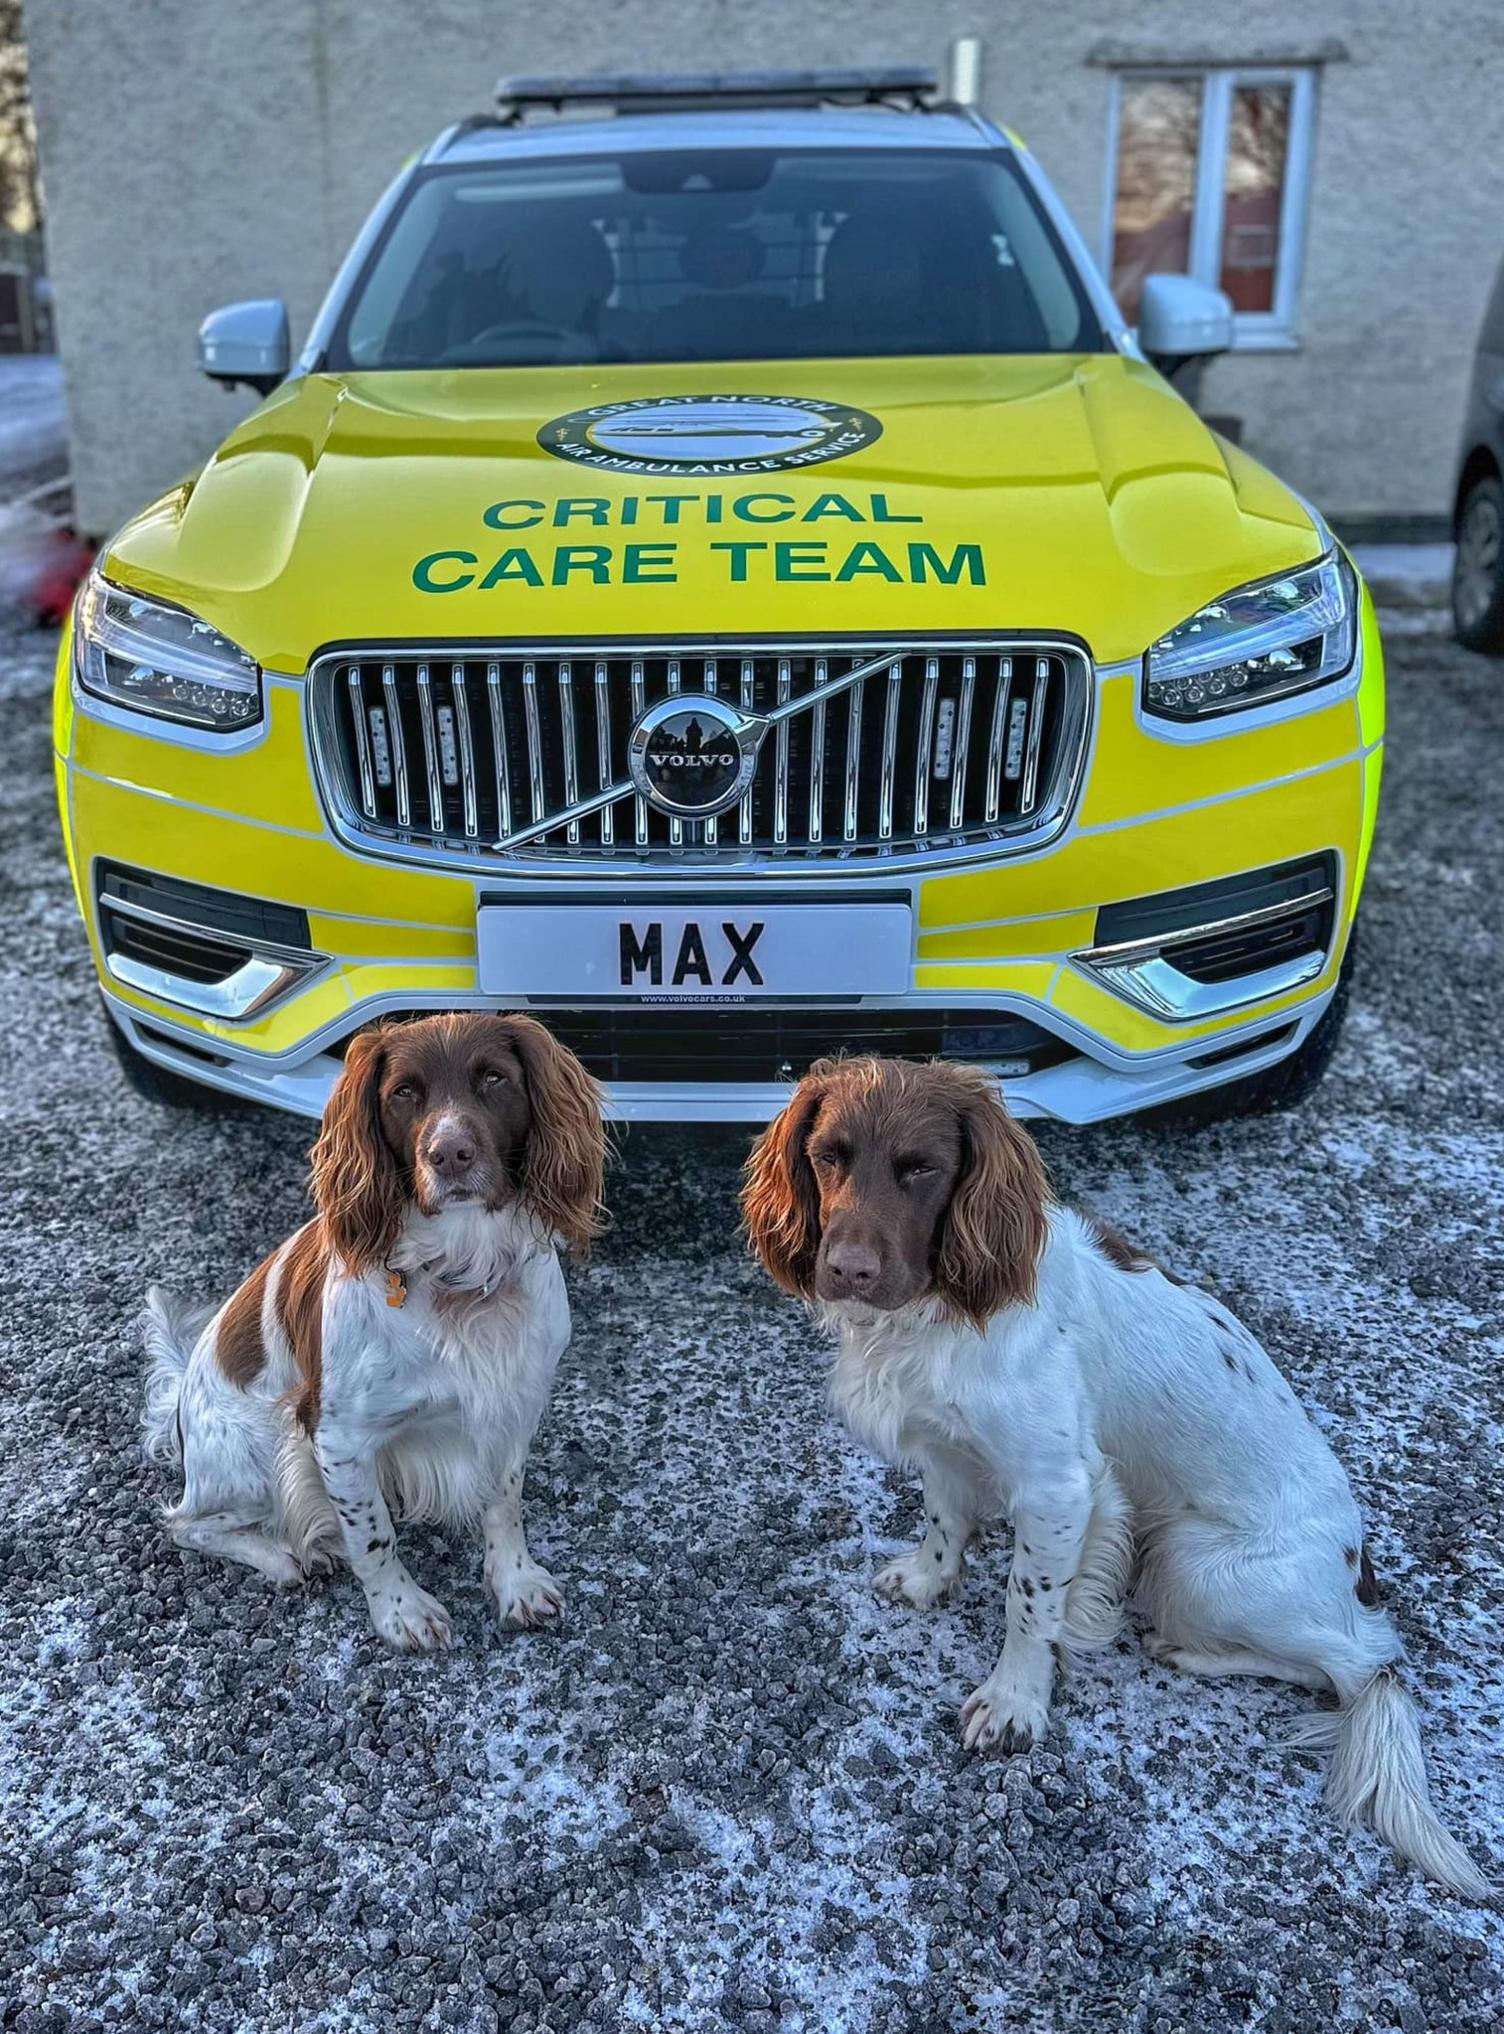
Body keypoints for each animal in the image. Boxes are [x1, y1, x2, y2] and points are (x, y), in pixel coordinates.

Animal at [142, 1012, 606, 1651]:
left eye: (494, 1078)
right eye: (403, 1092)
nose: (449, 1153)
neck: (461, 1272)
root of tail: (181, 1404)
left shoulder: (512, 1402)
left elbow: (504, 1500)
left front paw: (517, 1583)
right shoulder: (337, 1439)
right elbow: (373, 1536)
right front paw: (402, 1612)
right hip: (253, 1458)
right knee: (185, 1523)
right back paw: (287, 1557)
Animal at [740, 1057, 1497, 1895]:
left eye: (922, 1169)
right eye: (828, 1156)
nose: (846, 1269)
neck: (944, 1306)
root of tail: (1359, 1575)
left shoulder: (1061, 1486)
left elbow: (1027, 1602)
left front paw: (1014, 1704)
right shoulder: (946, 1442)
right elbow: (944, 1519)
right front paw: (928, 1580)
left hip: (1192, 1566)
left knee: (1355, 1666)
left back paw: (1188, 1651)